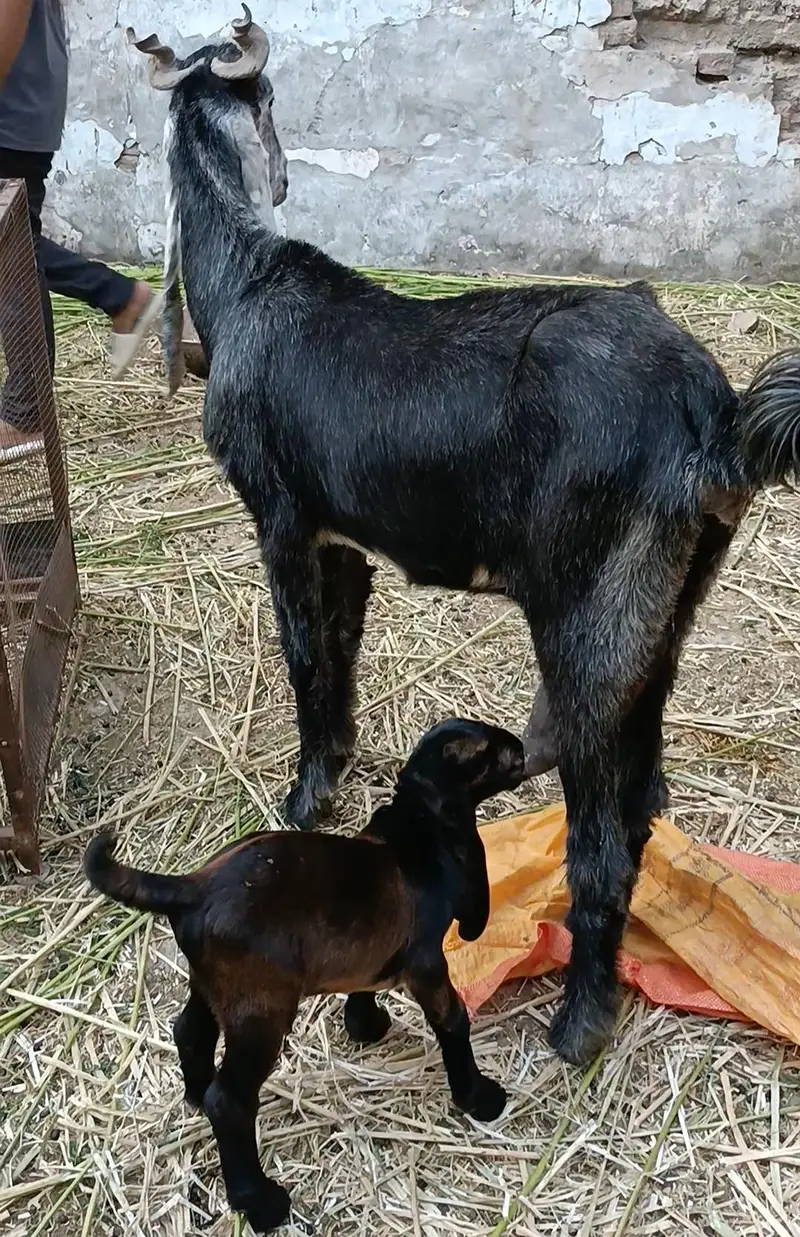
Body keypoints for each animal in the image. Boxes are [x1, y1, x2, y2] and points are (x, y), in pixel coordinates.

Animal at [84, 718, 526, 1233]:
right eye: (490, 753)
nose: (521, 747)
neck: (417, 827)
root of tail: (192, 888)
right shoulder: (426, 963)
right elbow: (452, 1021)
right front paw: (478, 1096)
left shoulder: (372, 950)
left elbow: (365, 981)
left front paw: (365, 1025)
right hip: (261, 1014)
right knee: (229, 1101)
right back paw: (260, 1203)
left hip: (213, 987)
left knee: (190, 1032)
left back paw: (194, 1094)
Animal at [125, 9, 800, 1068]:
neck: (248, 281)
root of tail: (712, 419)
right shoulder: (346, 540)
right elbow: (342, 649)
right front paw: (339, 765)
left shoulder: (281, 514)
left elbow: (304, 654)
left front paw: (304, 800)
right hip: (667, 603)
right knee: (642, 785)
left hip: (587, 615)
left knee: (602, 840)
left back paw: (578, 1025)